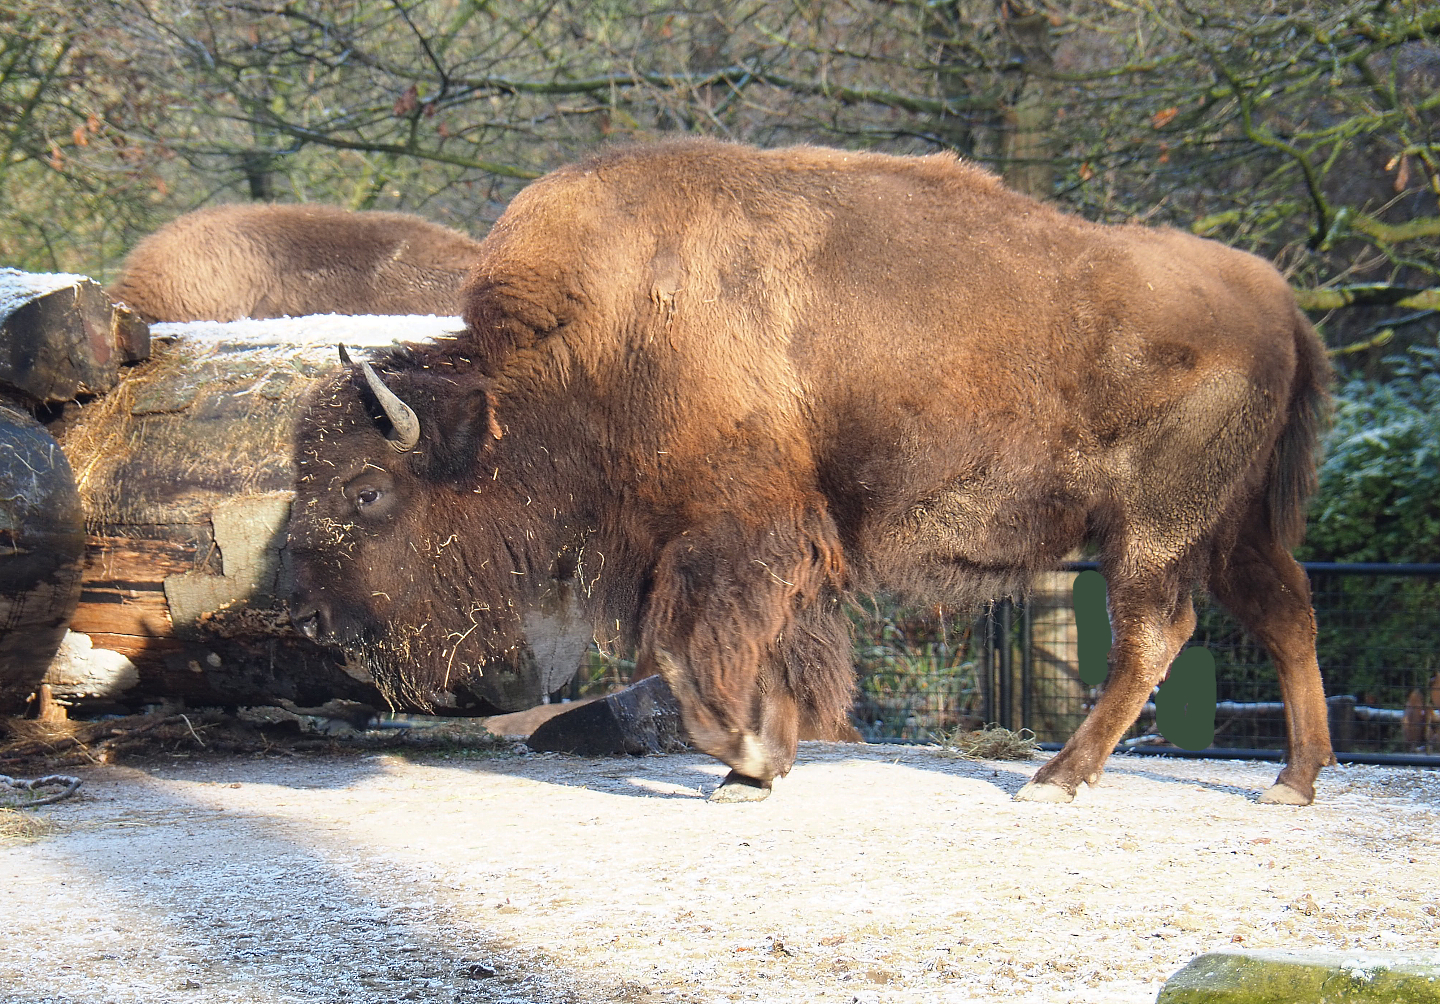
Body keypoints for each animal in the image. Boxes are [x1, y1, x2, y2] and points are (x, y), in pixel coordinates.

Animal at [288, 139, 1333, 805]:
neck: (603, 338)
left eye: (367, 491)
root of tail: (1277, 295)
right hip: (1232, 529)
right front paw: (756, 770)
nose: (326, 628)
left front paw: (747, 757)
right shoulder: (774, 547)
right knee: (1286, 614)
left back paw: (1056, 780)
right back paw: (1294, 782)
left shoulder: (733, 537)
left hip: (1154, 531)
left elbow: (694, 658)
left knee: (1157, 633)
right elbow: (774, 651)